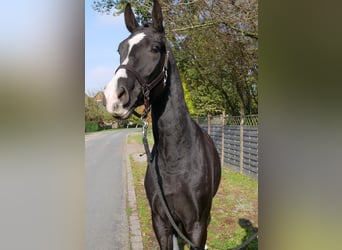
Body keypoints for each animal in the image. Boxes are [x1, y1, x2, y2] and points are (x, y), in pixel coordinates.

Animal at [103, 1, 222, 248]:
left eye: (156, 48)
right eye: (120, 49)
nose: (113, 97)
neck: (176, 160)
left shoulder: (196, 226)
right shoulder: (161, 221)